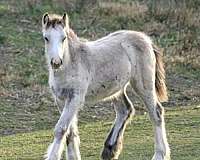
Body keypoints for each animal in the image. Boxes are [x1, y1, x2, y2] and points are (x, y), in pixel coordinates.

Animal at [41, 12, 170, 160]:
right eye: (46, 38)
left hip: (143, 86)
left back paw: (159, 154)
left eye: (64, 38)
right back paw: (110, 150)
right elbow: (70, 132)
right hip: (116, 88)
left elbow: (61, 129)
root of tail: (147, 40)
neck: (71, 63)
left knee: (156, 113)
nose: (56, 62)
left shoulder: (75, 98)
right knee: (125, 110)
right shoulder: (61, 99)